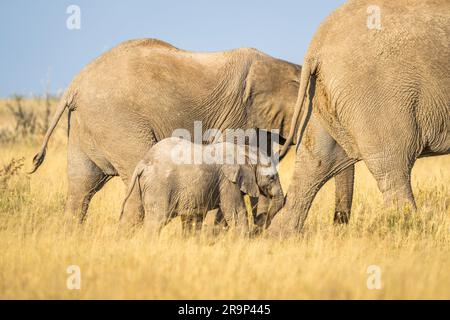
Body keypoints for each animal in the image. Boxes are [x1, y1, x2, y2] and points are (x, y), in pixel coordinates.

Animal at [30, 38, 356, 226]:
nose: (339, 224)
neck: (280, 65)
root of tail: (76, 83)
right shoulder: (238, 116)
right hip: (117, 121)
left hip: (85, 125)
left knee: (80, 189)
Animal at [121, 136, 284, 236]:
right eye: (271, 178)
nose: (261, 228)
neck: (245, 150)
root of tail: (144, 163)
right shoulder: (227, 181)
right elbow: (236, 212)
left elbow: (194, 218)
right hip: (158, 186)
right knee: (156, 220)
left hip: (139, 186)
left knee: (131, 215)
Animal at [272, 0, 448, 235]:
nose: (339, 222)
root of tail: (314, 49)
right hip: (376, 97)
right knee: (393, 168)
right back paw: (411, 231)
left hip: (322, 99)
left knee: (314, 163)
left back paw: (281, 236)